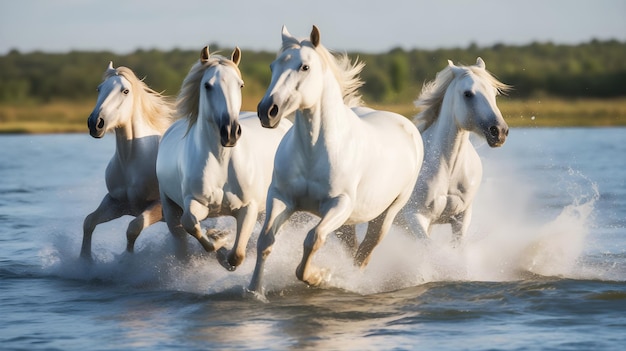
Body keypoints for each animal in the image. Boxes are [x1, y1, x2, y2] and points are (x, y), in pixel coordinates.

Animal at [82, 62, 176, 260]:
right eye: (99, 89)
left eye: (125, 91)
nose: (95, 123)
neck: (131, 162)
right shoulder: (116, 203)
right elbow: (89, 222)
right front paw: (85, 261)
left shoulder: (157, 206)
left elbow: (133, 228)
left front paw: (127, 262)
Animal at [156, 46, 292, 270]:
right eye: (207, 85)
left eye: (241, 84)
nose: (230, 133)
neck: (221, 162)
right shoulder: (196, 203)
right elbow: (191, 223)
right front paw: (218, 239)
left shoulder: (249, 208)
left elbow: (237, 255)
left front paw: (222, 244)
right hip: (170, 210)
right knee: (181, 240)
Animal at [246, 24, 422, 294]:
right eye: (272, 66)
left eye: (304, 67)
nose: (267, 111)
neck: (314, 151)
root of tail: (407, 126)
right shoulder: (281, 197)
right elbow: (265, 239)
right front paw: (255, 290)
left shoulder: (339, 204)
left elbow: (313, 238)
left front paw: (319, 276)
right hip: (348, 223)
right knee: (354, 250)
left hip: (385, 215)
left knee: (364, 254)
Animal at [398, 58, 510, 242]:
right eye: (468, 94)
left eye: (494, 93)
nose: (499, 132)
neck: (448, 169)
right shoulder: (415, 217)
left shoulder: (461, 217)